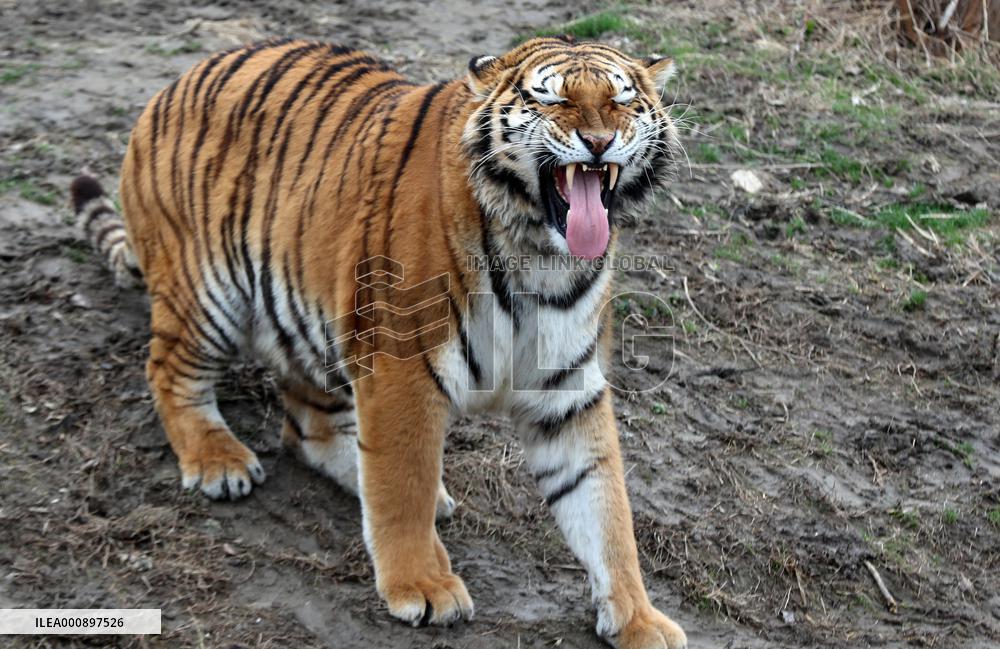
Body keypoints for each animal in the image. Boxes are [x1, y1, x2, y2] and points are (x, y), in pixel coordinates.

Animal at [70, 36, 686, 648]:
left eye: (622, 101)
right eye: (552, 100)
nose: (599, 142)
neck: (541, 256)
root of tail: (172, 85)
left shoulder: (569, 390)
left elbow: (605, 510)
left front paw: (639, 620)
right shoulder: (402, 368)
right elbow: (402, 481)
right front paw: (424, 586)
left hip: (317, 323)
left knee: (310, 431)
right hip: (206, 292)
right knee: (168, 371)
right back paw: (218, 461)